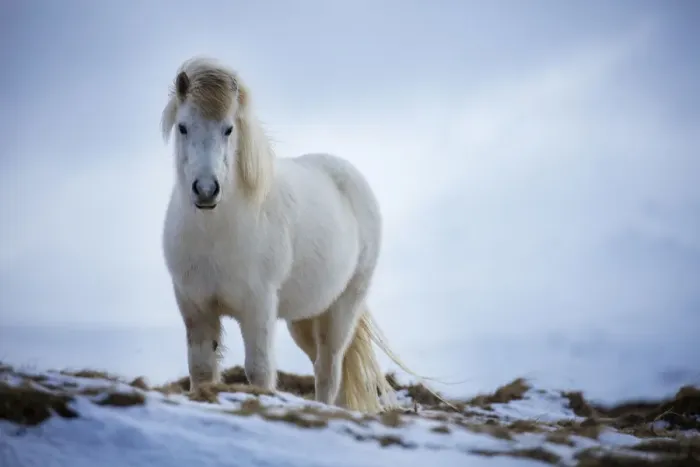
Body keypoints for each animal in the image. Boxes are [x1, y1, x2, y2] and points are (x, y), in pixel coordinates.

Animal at [160, 56, 424, 413]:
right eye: (183, 127)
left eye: (228, 128)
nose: (205, 190)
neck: (216, 233)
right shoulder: (195, 307)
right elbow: (201, 371)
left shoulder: (258, 307)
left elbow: (259, 372)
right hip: (305, 317)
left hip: (342, 309)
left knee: (329, 370)